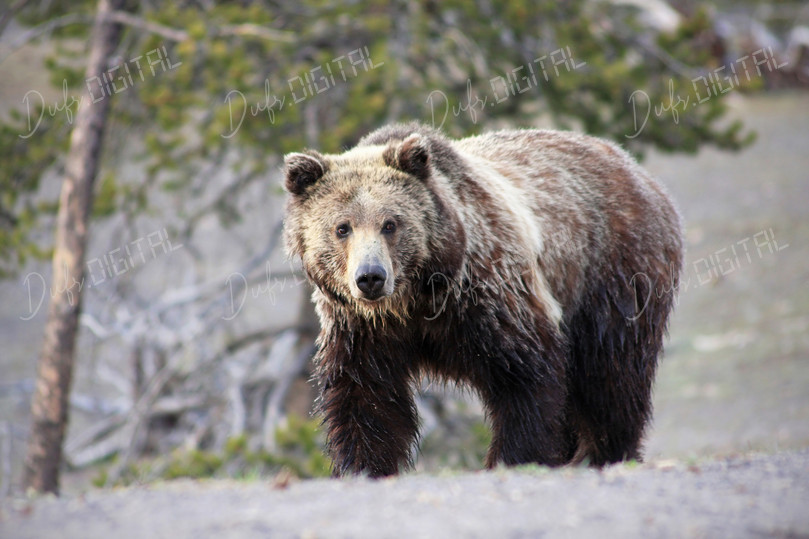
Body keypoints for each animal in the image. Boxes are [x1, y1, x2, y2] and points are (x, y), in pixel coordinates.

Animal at [282, 122, 683, 477]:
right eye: (342, 227)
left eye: (391, 224)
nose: (370, 277)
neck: (416, 301)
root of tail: (639, 171)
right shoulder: (362, 330)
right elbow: (366, 399)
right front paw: (365, 467)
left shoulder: (488, 299)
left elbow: (525, 380)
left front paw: (513, 458)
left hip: (613, 275)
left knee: (611, 375)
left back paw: (606, 452)